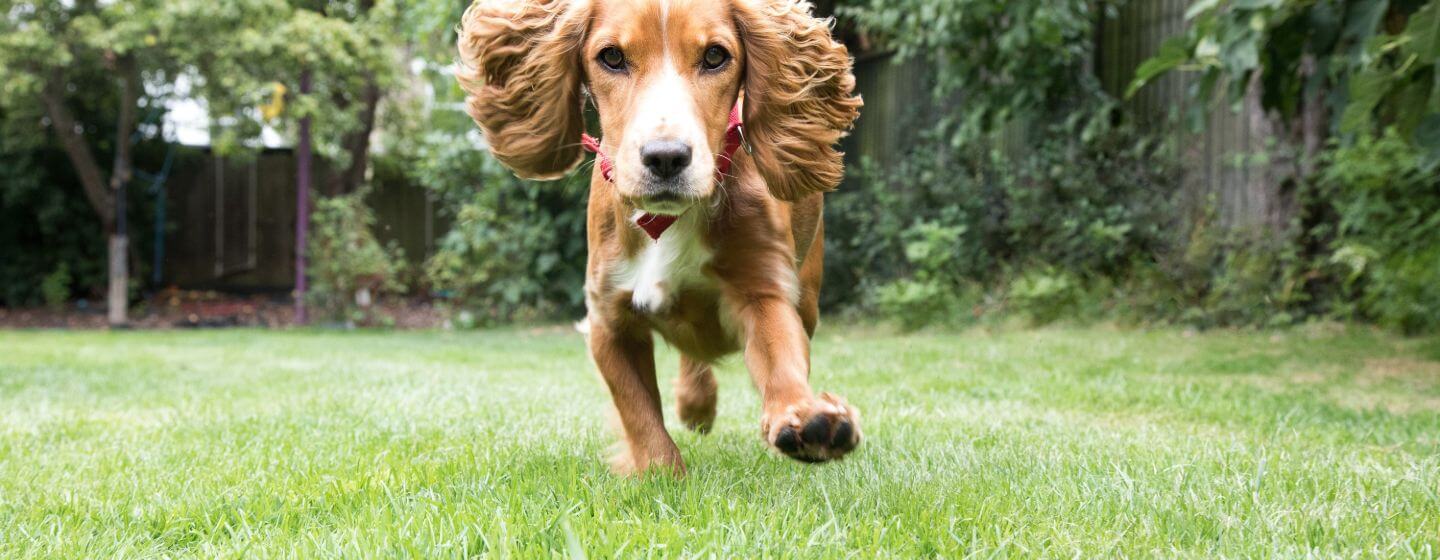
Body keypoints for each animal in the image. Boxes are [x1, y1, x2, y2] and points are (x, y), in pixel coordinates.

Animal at [457, 0, 864, 472]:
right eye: (612, 57)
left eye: (715, 56)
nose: (666, 157)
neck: (665, 222)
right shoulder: (608, 319)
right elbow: (638, 411)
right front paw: (660, 473)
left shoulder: (761, 287)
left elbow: (780, 356)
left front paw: (806, 418)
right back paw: (695, 403)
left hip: (809, 295)